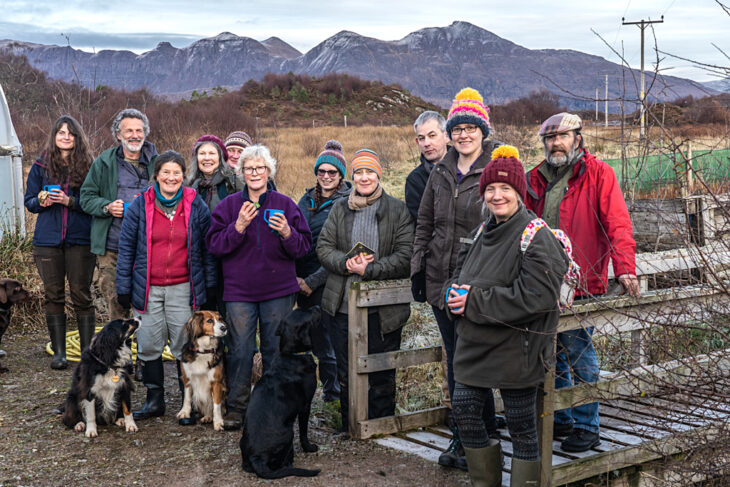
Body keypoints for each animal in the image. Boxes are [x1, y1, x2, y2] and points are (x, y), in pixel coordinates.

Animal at [240, 306, 320, 478]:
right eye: (308, 312)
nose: (317, 307)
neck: (292, 355)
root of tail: (257, 457)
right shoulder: (306, 405)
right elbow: (304, 432)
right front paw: (309, 447)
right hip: (289, 433)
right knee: (284, 461)